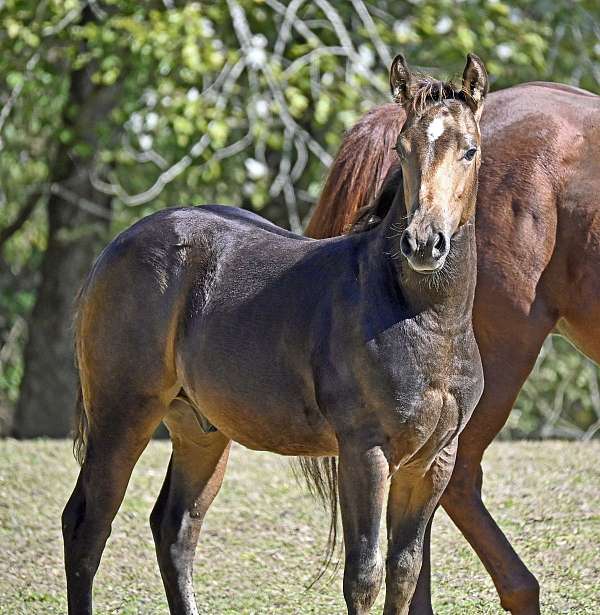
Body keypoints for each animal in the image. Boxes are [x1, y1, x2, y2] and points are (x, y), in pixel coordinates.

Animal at [63, 55, 490, 612]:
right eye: (402, 148)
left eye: (470, 149)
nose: (423, 243)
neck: (425, 319)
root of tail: (115, 248)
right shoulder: (364, 451)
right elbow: (365, 576)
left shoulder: (434, 461)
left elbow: (404, 572)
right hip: (121, 415)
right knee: (87, 526)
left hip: (199, 429)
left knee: (175, 528)